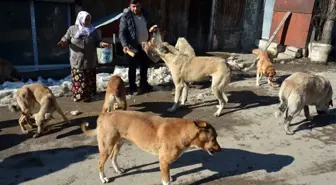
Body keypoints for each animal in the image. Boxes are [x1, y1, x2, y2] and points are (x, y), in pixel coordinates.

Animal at [81, 110, 222, 184]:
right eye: (214, 138)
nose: (221, 150)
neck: (183, 132)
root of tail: (104, 115)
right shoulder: (164, 161)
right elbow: (166, 181)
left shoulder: (165, 163)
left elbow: (167, 175)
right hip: (106, 147)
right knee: (100, 164)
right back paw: (103, 178)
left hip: (119, 143)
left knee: (113, 158)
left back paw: (118, 169)